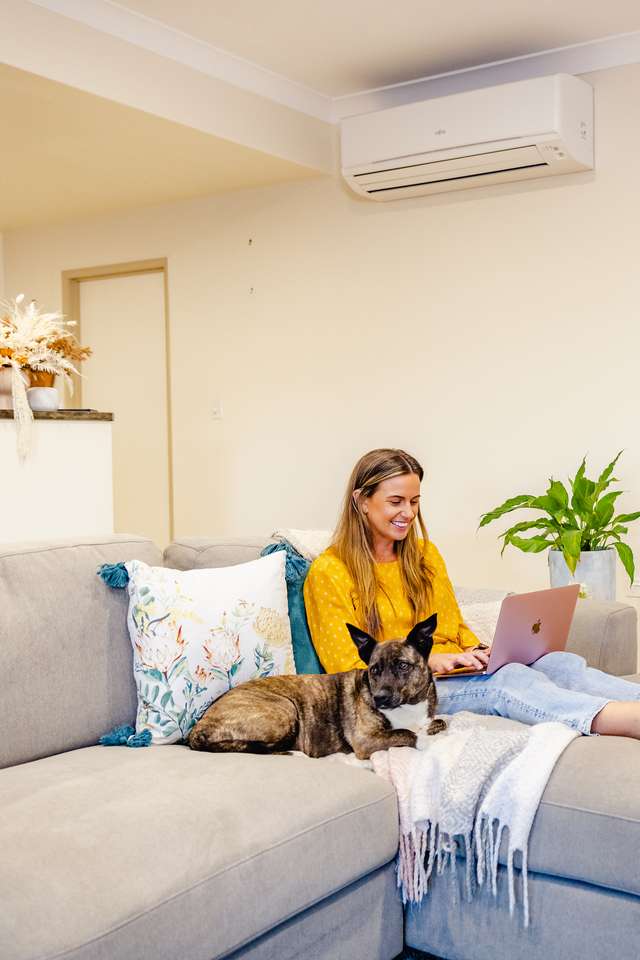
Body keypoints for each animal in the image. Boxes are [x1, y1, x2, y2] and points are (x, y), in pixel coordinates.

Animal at [186, 612, 444, 760]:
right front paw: (425, 740)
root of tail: (198, 728)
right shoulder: (366, 740)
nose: (379, 698)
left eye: (403, 665)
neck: (408, 707)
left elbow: (435, 723)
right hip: (285, 709)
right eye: (374, 670)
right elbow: (406, 733)